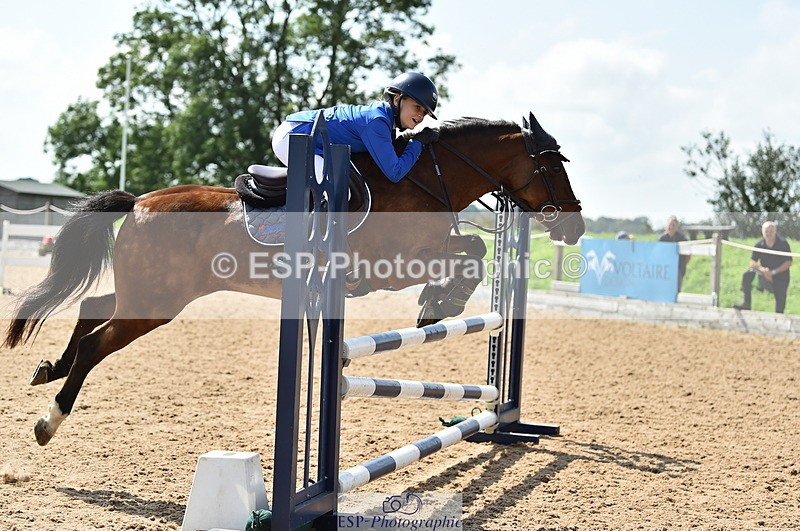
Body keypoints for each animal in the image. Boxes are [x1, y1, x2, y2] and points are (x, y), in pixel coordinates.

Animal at [4, 112, 584, 446]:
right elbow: (469, 255)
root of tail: (140, 201)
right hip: (157, 302)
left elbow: (473, 249)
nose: (576, 227)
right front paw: (439, 303)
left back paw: (48, 369)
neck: (420, 176)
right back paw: (48, 422)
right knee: (97, 343)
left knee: (93, 307)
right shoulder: (395, 263)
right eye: (553, 163)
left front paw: (439, 303)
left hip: (149, 293)